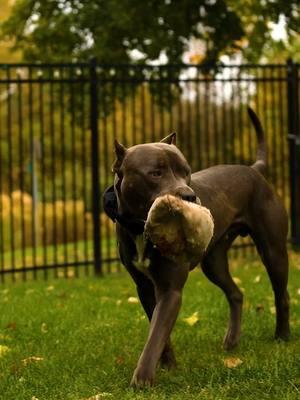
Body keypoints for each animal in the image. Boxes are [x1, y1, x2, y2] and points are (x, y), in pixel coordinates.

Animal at [103, 107, 288, 388]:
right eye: (155, 173)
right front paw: (169, 366)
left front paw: (142, 379)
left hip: (273, 251)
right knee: (236, 293)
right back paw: (232, 341)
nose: (189, 195)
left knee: (281, 293)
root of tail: (254, 170)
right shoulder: (144, 287)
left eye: (186, 171)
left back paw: (282, 336)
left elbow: (156, 334)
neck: (139, 228)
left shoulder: (170, 289)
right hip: (214, 263)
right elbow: (159, 330)